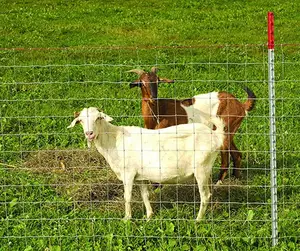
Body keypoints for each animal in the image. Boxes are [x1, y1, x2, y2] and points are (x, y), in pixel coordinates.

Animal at [67, 107, 224, 221]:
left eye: (98, 118)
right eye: (80, 120)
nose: (89, 134)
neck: (114, 139)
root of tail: (216, 136)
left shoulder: (128, 173)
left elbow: (127, 197)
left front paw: (127, 219)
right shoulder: (140, 176)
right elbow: (145, 195)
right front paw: (149, 216)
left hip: (201, 169)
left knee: (205, 196)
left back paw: (198, 220)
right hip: (206, 170)